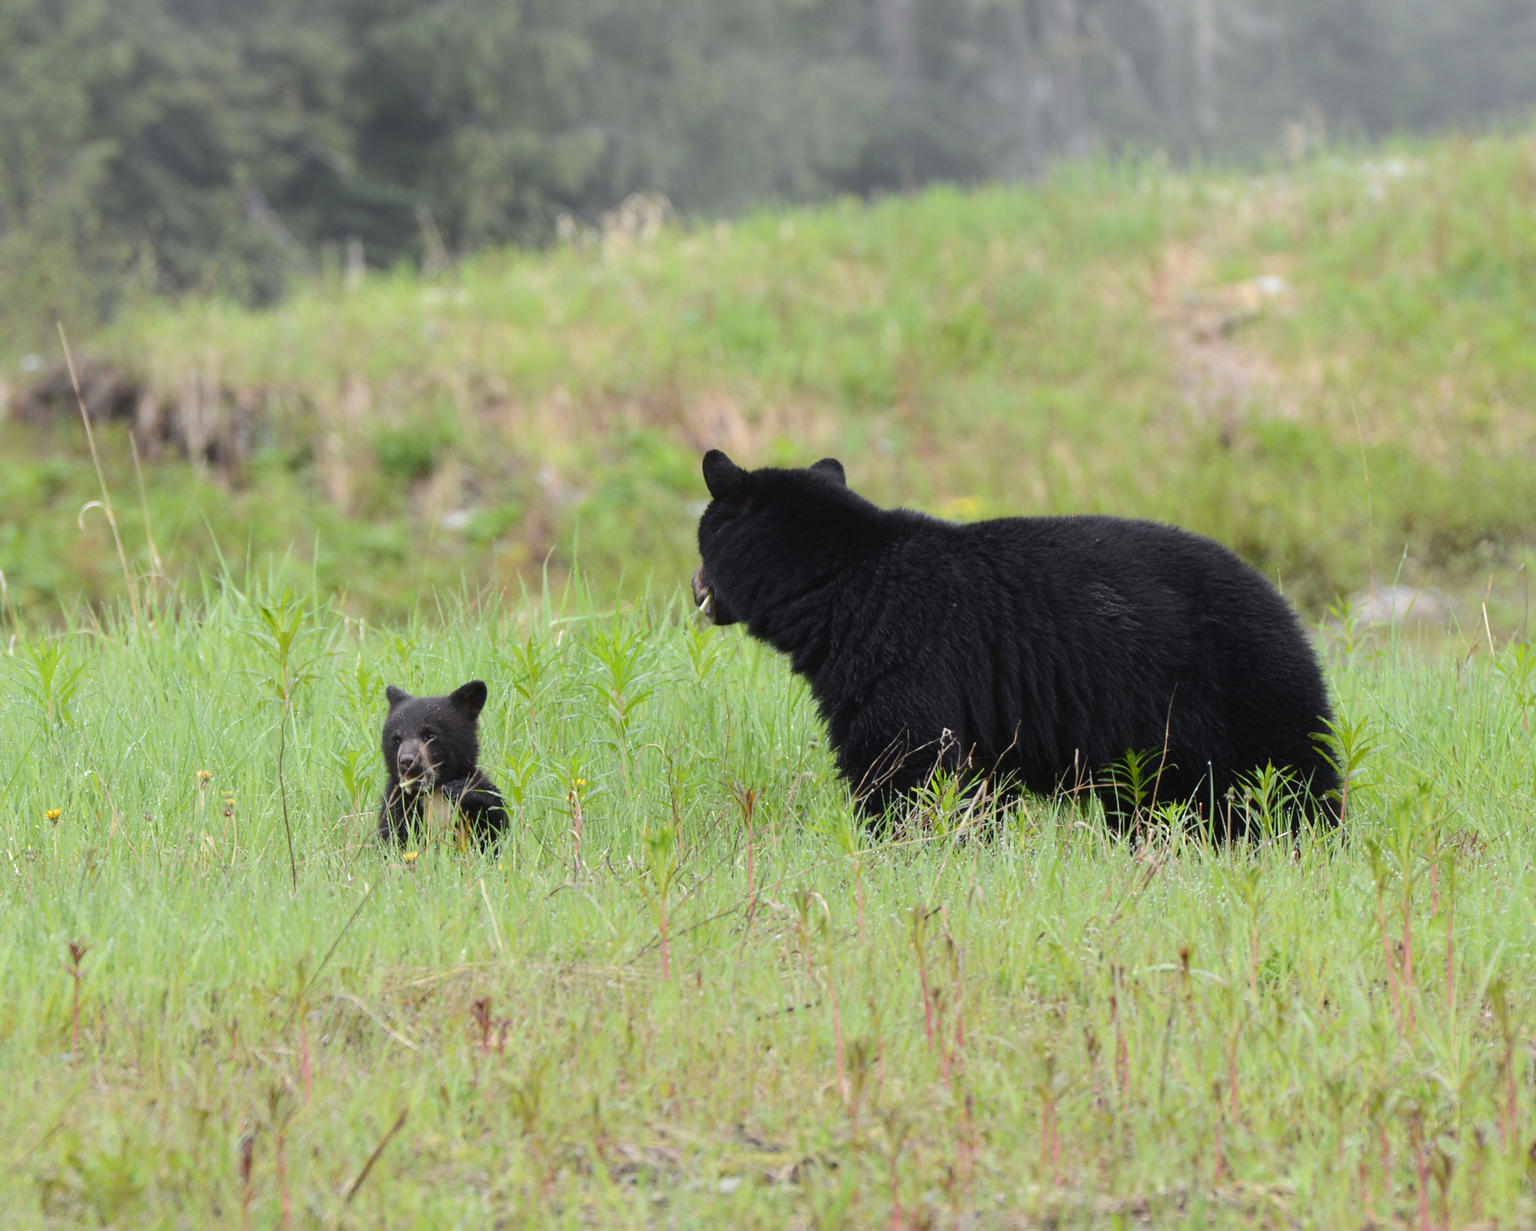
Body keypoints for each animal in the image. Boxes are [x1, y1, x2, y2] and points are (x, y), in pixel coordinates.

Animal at [377, 682, 509, 848]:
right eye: (396, 739)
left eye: (430, 735)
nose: (407, 761)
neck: (434, 793)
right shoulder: (396, 804)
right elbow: (392, 836)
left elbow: (495, 826)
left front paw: (460, 789)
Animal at [691, 451, 1339, 836]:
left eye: (700, 541)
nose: (696, 587)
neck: (838, 583)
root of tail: (1289, 612)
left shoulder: (903, 654)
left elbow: (903, 760)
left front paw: (898, 843)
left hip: (1243, 692)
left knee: (1289, 779)